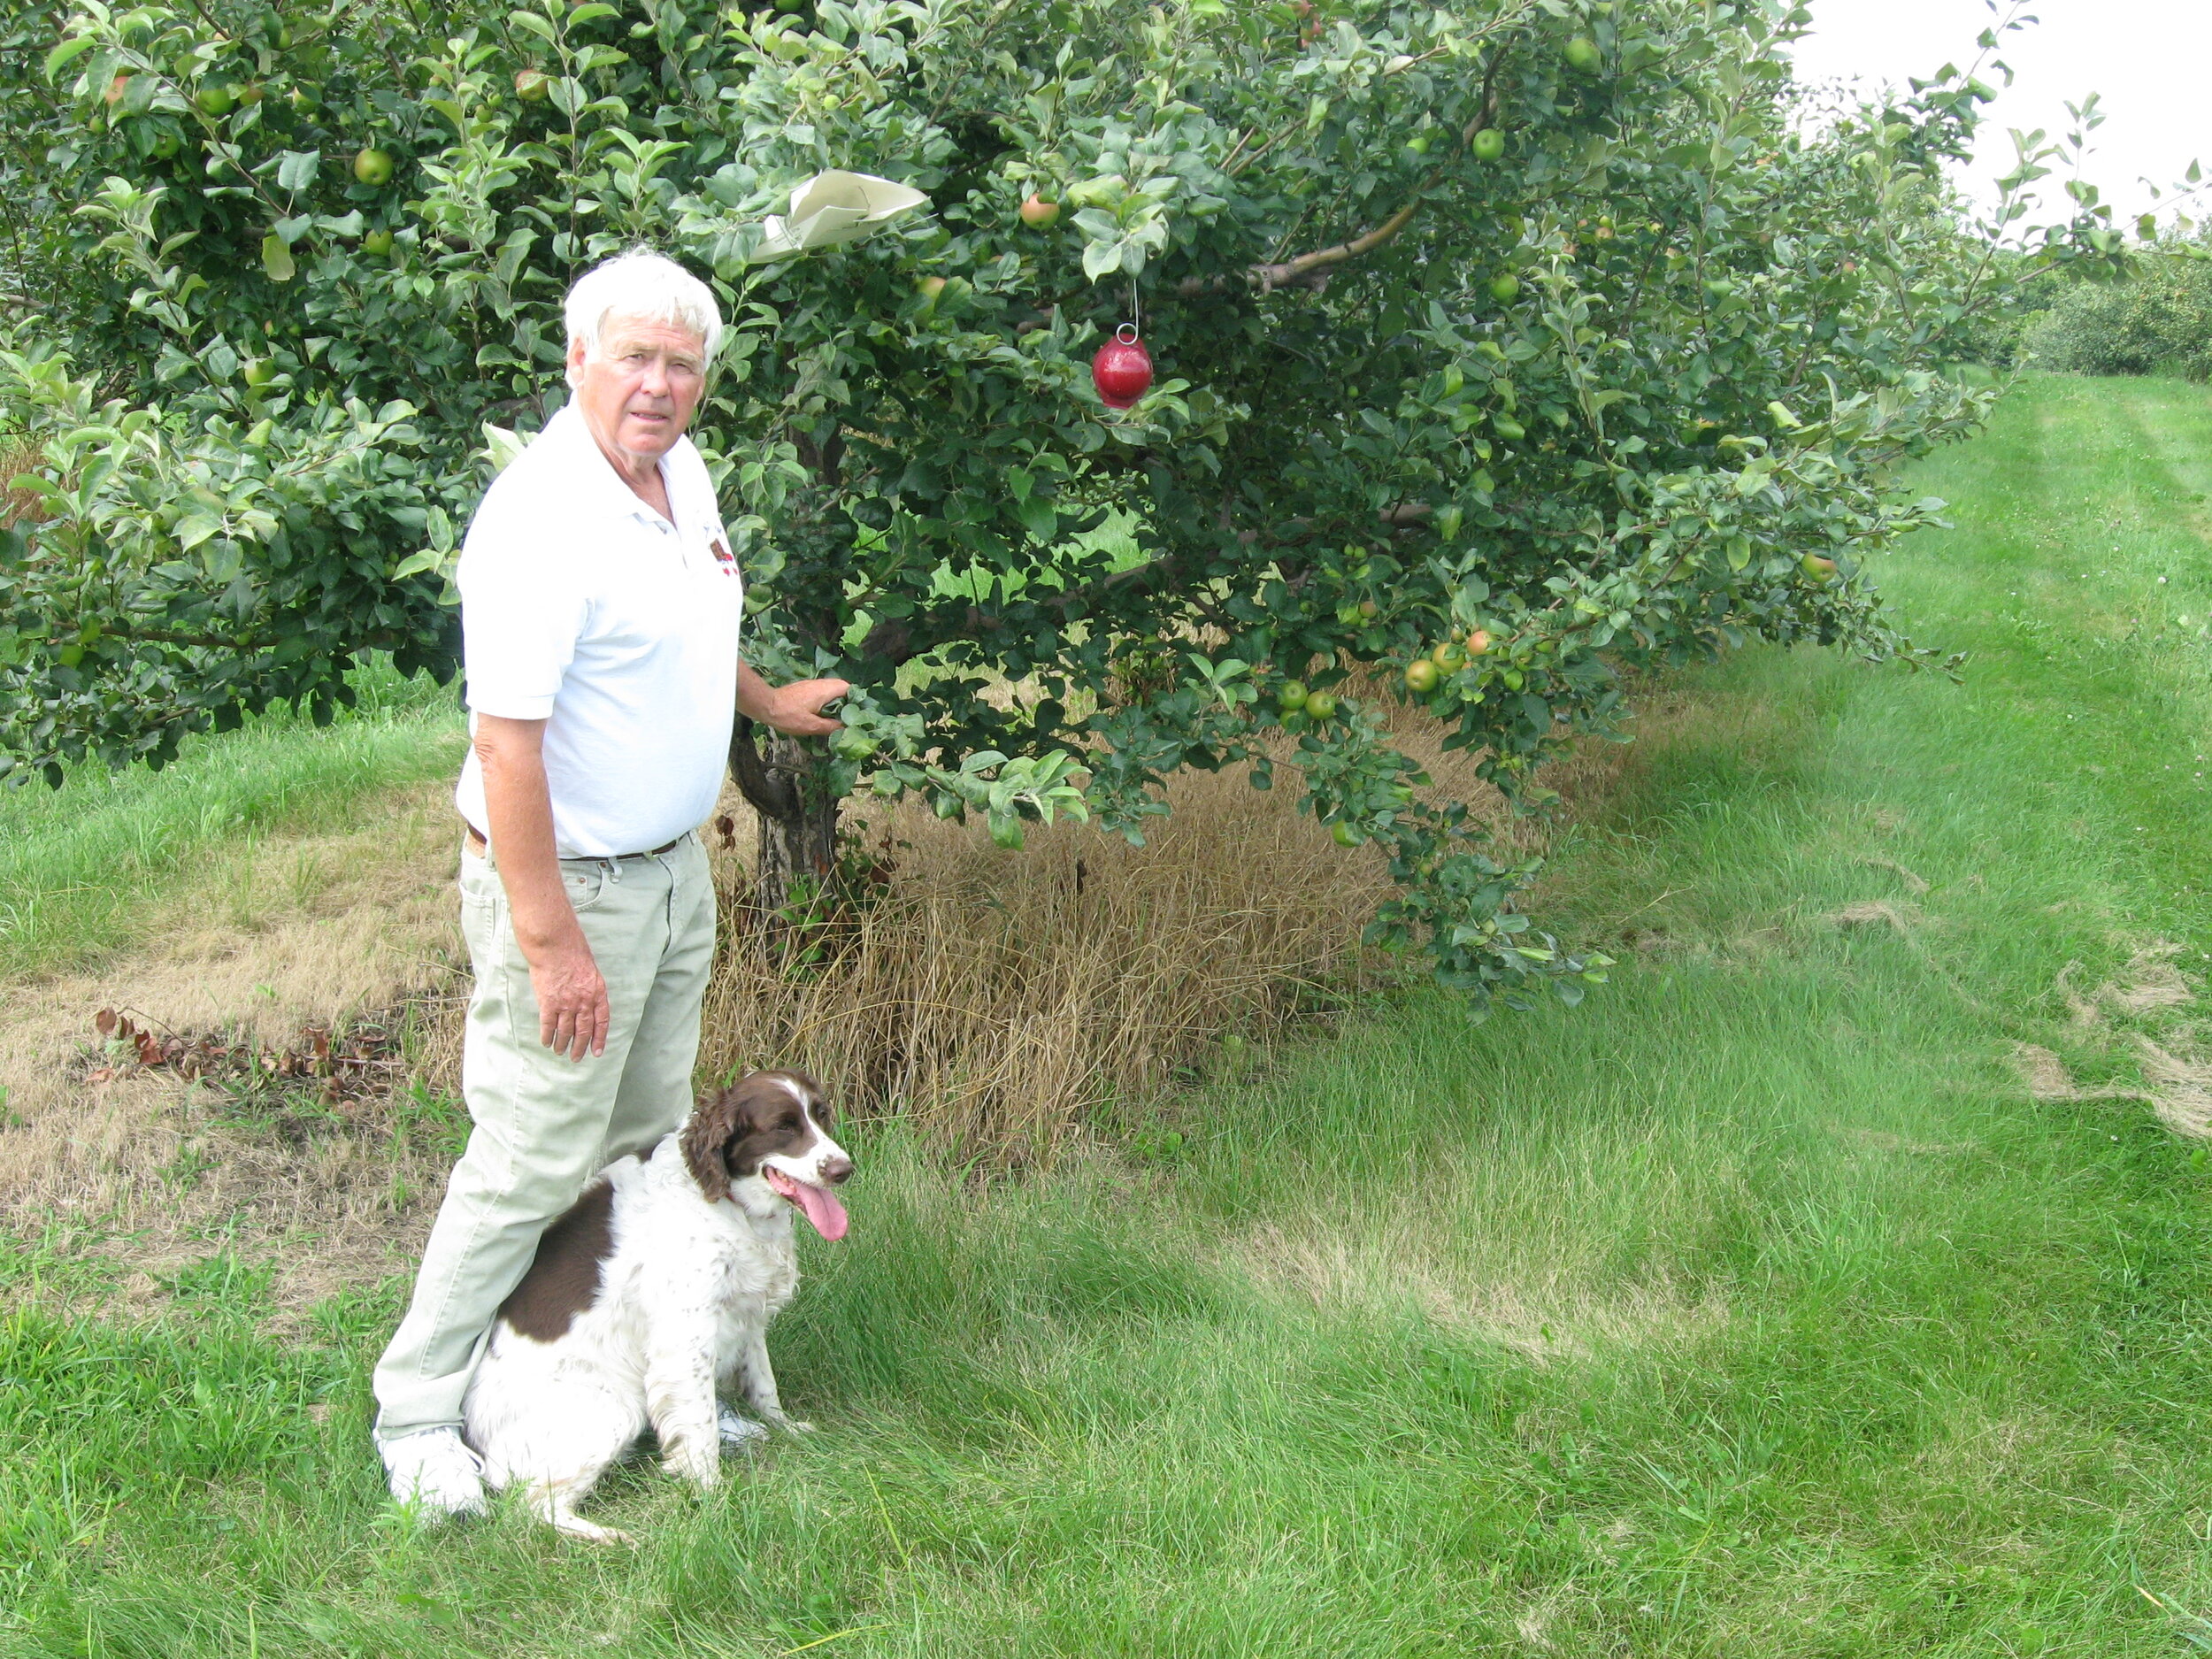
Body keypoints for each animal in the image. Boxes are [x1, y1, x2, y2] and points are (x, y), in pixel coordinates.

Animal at [462, 1079, 849, 1548]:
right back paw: (613, 1536)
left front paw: (784, 1430)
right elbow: (700, 1431)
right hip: (613, 1410)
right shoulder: (685, 1339)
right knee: (532, 1506)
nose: (844, 1169)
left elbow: (764, 1386)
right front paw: (716, 1500)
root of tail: (480, 1444)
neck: (722, 1200)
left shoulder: (745, 1314)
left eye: (821, 1114)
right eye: (783, 1127)